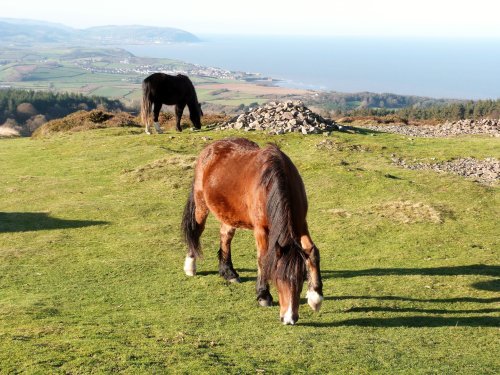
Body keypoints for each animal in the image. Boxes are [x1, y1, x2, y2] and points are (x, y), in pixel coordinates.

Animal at [182, 138, 322, 326]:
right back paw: (191, 266)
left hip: (229, 214)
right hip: (201, 205)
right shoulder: (261, 230)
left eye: (301, 280)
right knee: (196, 231)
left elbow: (313, 252)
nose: (289, 319)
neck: (271, 182)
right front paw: (263, 295)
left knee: (225, 236)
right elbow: (263, 258)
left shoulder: (301, 223)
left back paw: (228, 272)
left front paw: (315, 297)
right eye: (278, 280)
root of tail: (210, 148)